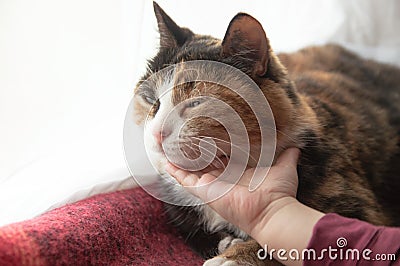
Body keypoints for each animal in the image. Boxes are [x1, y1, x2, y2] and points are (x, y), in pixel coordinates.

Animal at [133, 2, 398, 266]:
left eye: (197, 102)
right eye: (151, 99)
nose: (157, 133)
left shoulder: (357, 209)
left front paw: (231, 257)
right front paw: (227, 245)